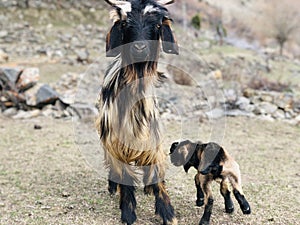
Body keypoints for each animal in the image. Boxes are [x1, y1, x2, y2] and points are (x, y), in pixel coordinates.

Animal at [96, 0, 178, 224]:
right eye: (125, 23)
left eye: (157, 25)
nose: (140, 48)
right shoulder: (116, 144)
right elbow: (125, 176)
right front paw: (128, 213)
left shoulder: (153, 143)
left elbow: (157, 175)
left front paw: (168, 213)